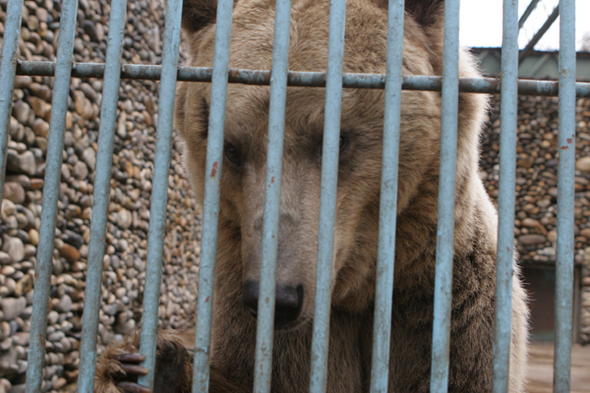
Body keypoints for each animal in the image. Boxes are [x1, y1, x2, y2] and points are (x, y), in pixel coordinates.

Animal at [93, 0, 532, 388]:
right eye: (231, 148)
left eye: (336, 138)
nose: (276, 297)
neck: (355, 291)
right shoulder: (257, 314)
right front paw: (144, 365)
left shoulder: (446, 307)